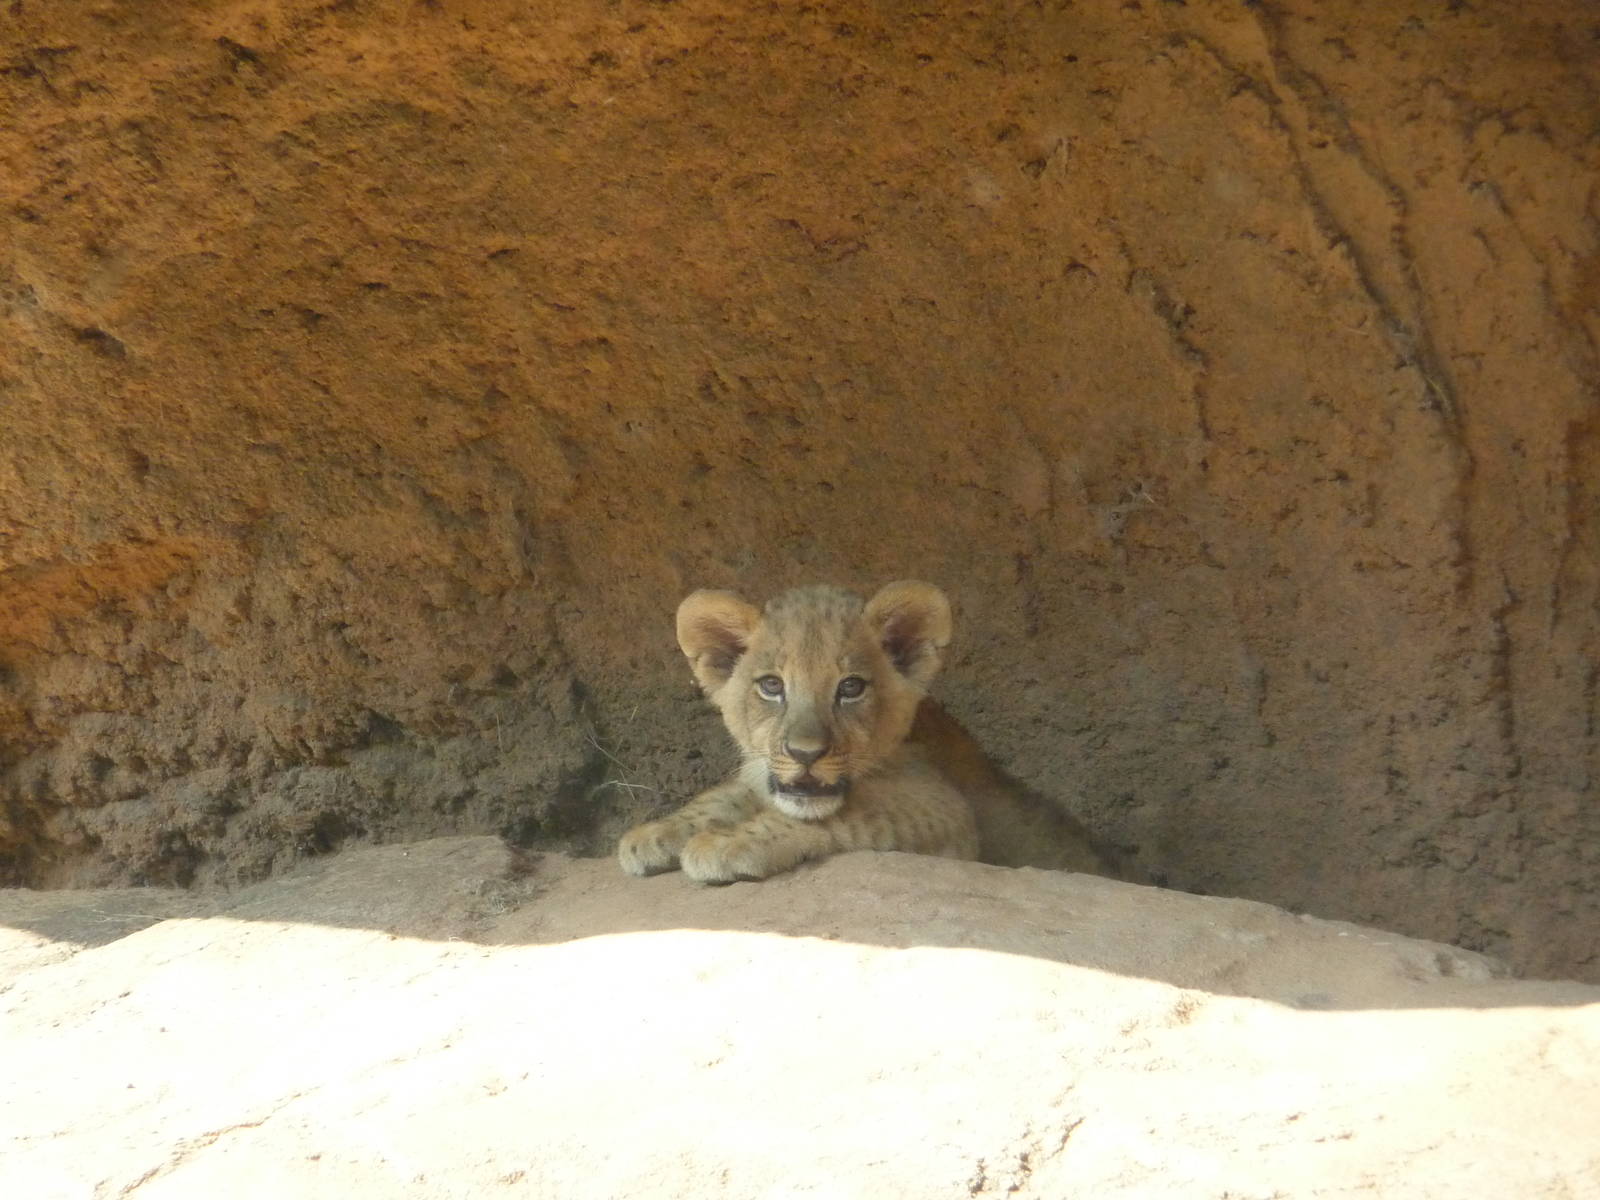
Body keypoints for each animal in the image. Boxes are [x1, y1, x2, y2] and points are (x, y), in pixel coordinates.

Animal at [617, 581, 1114, 884]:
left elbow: (846, 814)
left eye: (851, 688)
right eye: (772, 686)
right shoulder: (761, 774)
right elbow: (723, 797)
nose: (804, 753)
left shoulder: (950, 814)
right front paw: (655, 833)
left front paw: (727, 842)